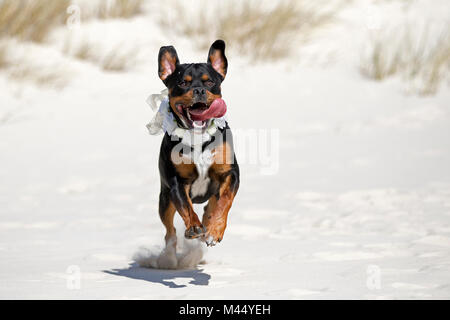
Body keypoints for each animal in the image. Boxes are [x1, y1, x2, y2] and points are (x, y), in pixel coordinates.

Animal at [156, 40, 239, 250]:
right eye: (182, 83)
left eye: (210, 82)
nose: (199, 91)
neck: (198, 137)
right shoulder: (177, 181)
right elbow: (186, 206)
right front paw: (194, 227)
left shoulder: (230, 173)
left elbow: (225, 201)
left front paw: (215, 231)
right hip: (165, 199)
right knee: (169, 230)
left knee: (212, 204)